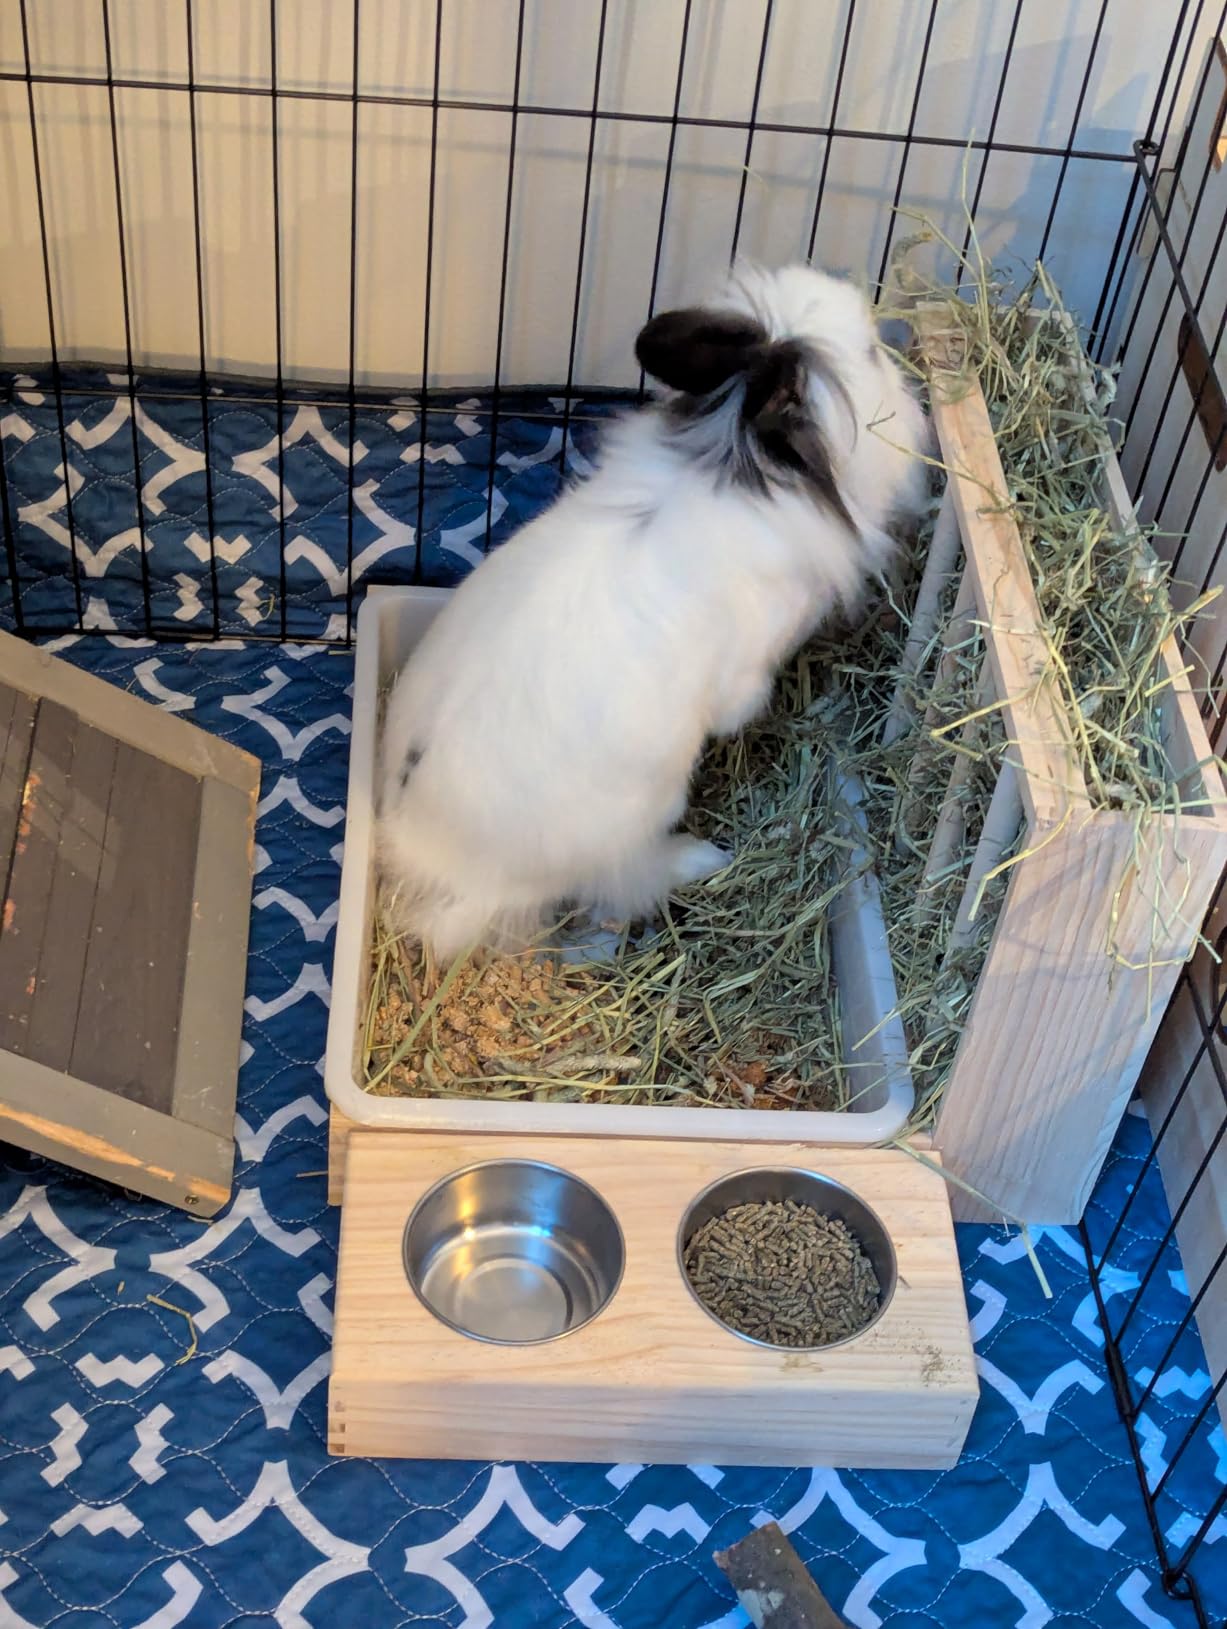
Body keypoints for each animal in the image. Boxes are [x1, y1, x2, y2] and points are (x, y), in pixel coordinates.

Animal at [378, 262, 929, 962]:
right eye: (871, 353)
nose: (900, 352)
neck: (735, 464)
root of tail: (430, 862)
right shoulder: (744, 671)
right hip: (637, 817)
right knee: (625, 882)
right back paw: (701, 858)